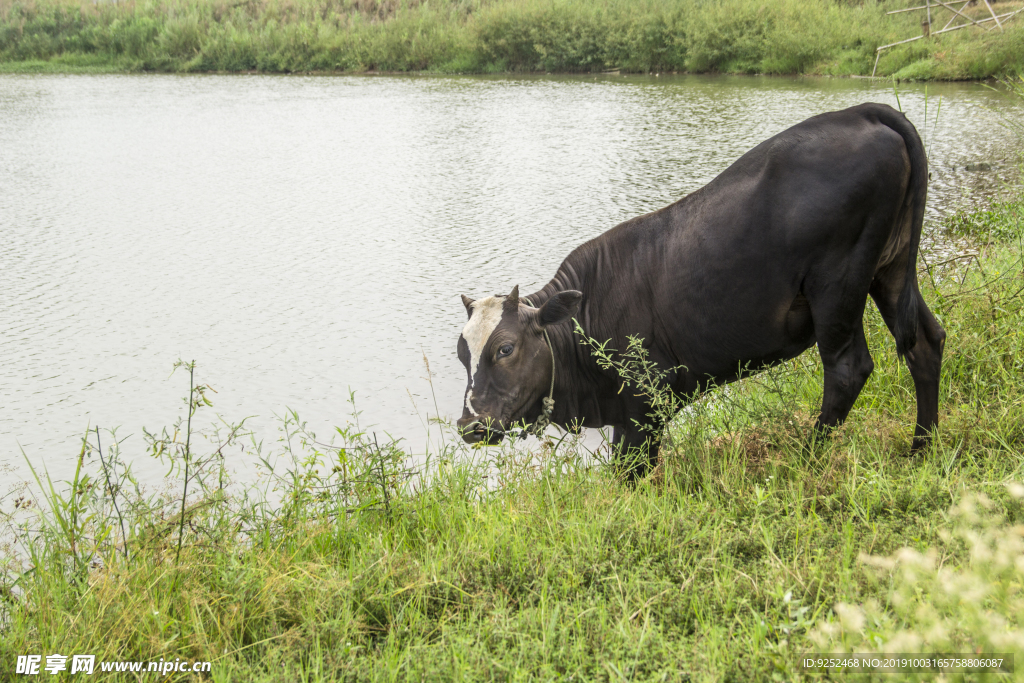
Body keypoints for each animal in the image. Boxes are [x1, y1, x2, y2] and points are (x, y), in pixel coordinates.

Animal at [454, 102, 942, 481]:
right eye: (462, 355)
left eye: (505, 349)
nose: (470, 423)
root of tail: (862, 112)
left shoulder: (647, 399)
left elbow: (630, 472)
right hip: (890, 268)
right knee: (925, 341)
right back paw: (923, 449)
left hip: (838, 287)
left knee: (847, 369)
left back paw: (805, 458)